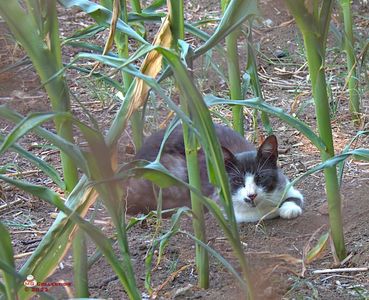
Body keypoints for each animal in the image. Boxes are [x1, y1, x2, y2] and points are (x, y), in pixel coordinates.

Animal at [123, 124, 302, 223]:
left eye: (261, 177)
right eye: (237, 181)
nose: (251, 195)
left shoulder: (285, 184)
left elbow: (296, 197)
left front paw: (289, 208)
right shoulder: (220, 201)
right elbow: (258, 213)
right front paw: (275, 210)